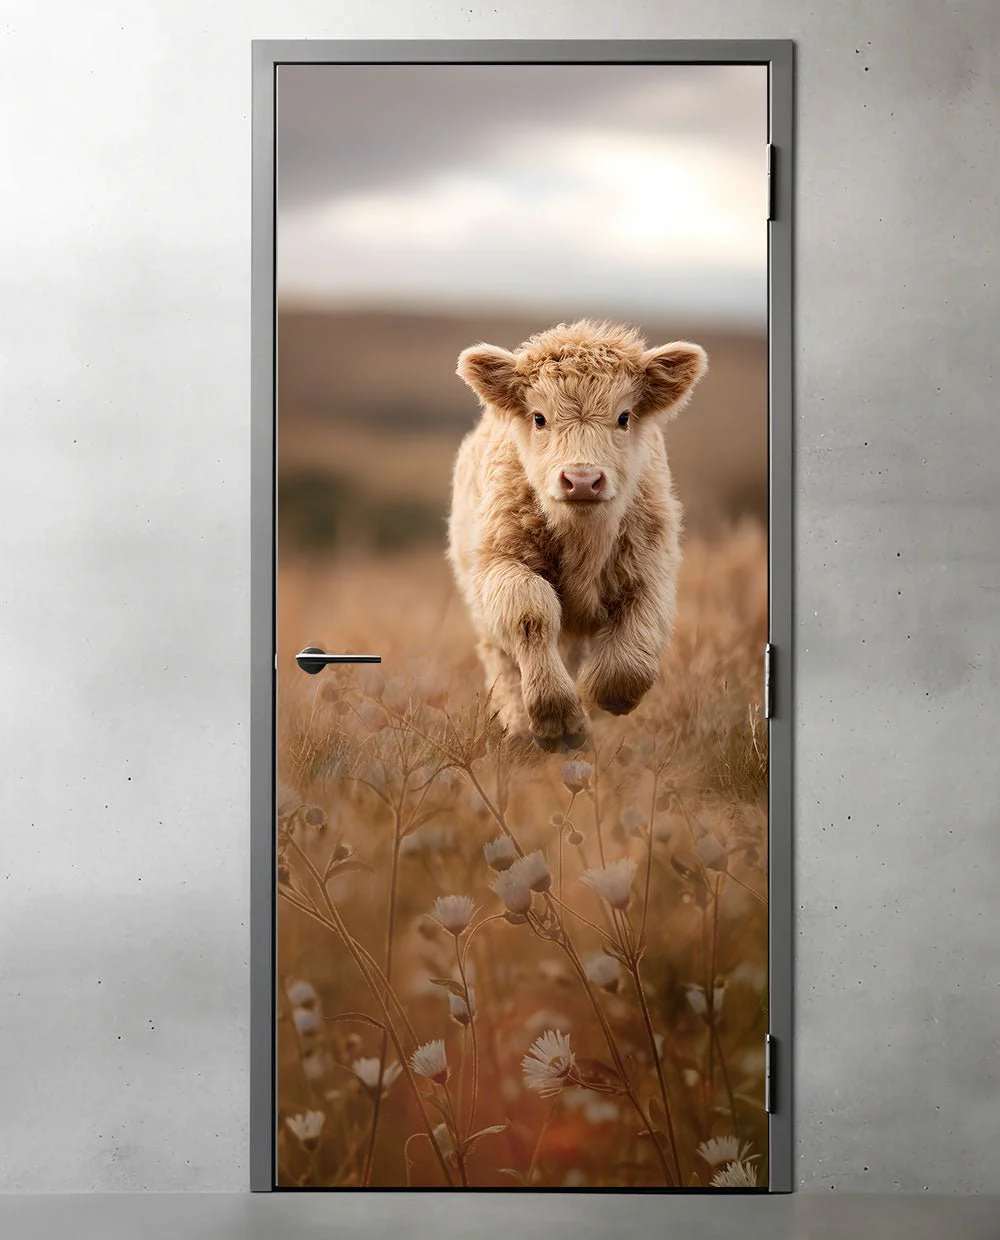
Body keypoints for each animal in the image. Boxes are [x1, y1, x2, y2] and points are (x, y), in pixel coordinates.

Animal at [447, 318, 707, 751]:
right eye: (539, 417)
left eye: (624, 416)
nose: (582, 480)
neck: (583, 540)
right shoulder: (501, 563)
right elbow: (530, 612)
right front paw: (558, 719)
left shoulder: (650, 569)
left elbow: (631, 653)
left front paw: (602, 695)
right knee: (504, 660)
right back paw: (521, 728)